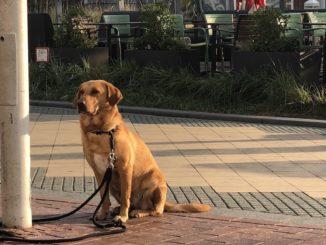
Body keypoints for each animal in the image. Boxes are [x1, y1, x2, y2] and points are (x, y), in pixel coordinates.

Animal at [74, 79, 211, 223]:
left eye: (95, 91)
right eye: (81, 92)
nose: (80, 103)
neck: (100, 131)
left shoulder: (125, 169)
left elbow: (125, 197)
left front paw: (123, 217)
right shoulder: (99, 172)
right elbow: (103, 197)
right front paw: (102, 214)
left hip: (155, 183)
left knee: (155, 210)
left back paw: (138, 212)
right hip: (113, 186)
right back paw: (119, 209)